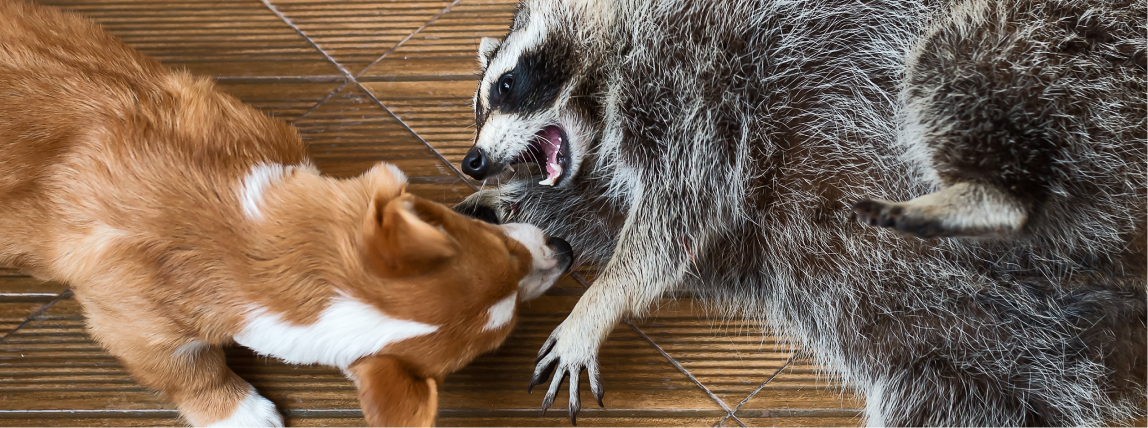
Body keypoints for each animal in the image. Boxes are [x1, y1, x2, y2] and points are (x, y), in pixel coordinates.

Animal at [0, 1, 574, 424]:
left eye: (498, 242)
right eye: (502, 332)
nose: (566, 249)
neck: (240, 235)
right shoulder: (133, 324)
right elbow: (189, 372)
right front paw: (241, 414)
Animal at [452, 0, 1148, 424]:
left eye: (507, 85)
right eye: (477, 107)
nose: (473, 161)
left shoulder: (692, 73)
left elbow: (680, 210)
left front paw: (596, 305)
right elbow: (622, 219)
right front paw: (508, 210)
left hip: (1066, 55)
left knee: (953, 61)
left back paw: (996, 195)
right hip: (974, 357)